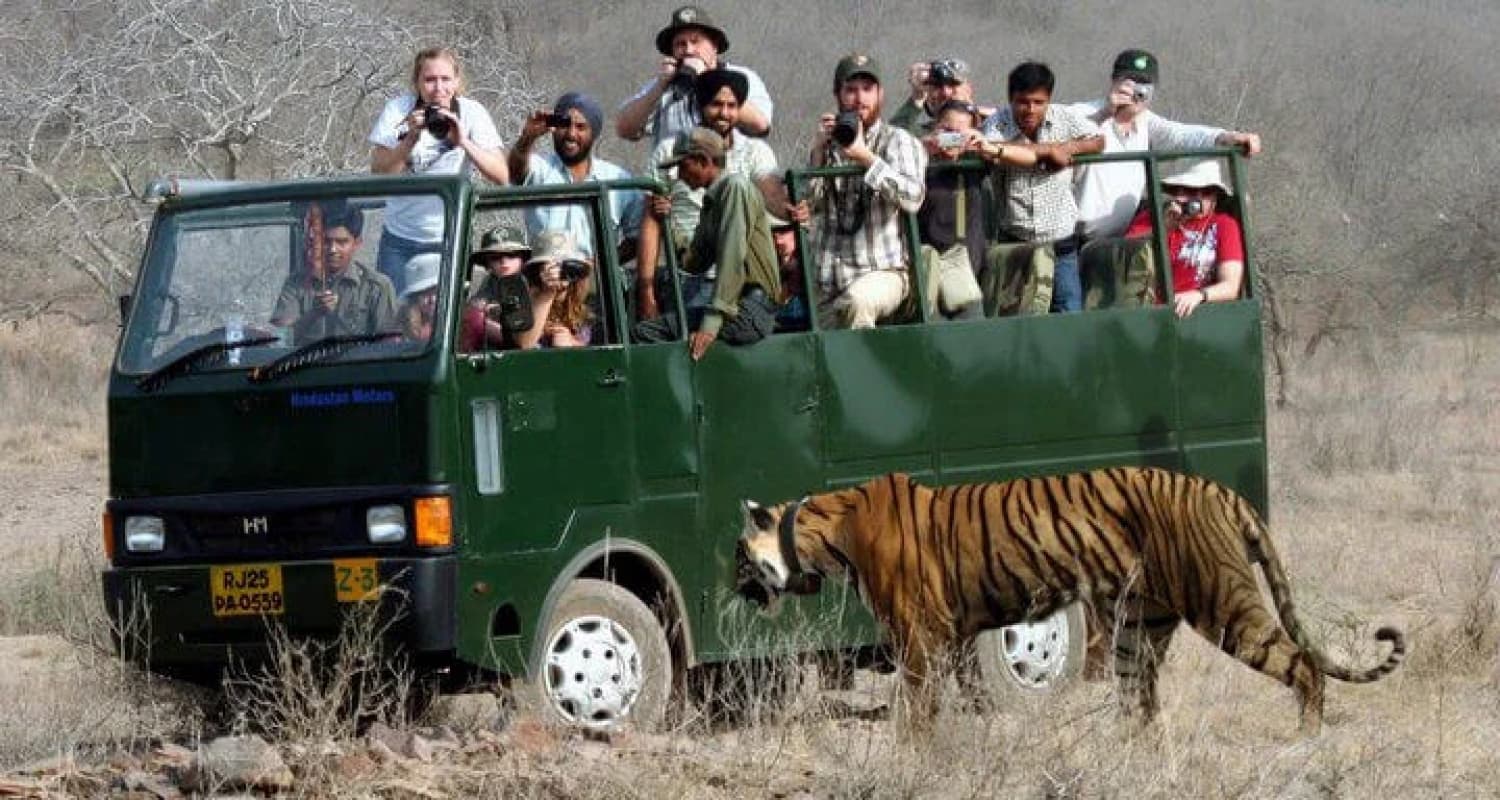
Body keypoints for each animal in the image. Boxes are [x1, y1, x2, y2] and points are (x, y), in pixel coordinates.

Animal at [734, 467, 1405, 730]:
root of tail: (1222, 490)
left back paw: (1308, 736)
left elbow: (918, 710)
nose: (733, 590)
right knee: (1141, 705)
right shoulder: (947, 635)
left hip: (1224, 604)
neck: (821, 532)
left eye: (738, 556)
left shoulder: (917, 635)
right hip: (1140, 627)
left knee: (1302, 666)